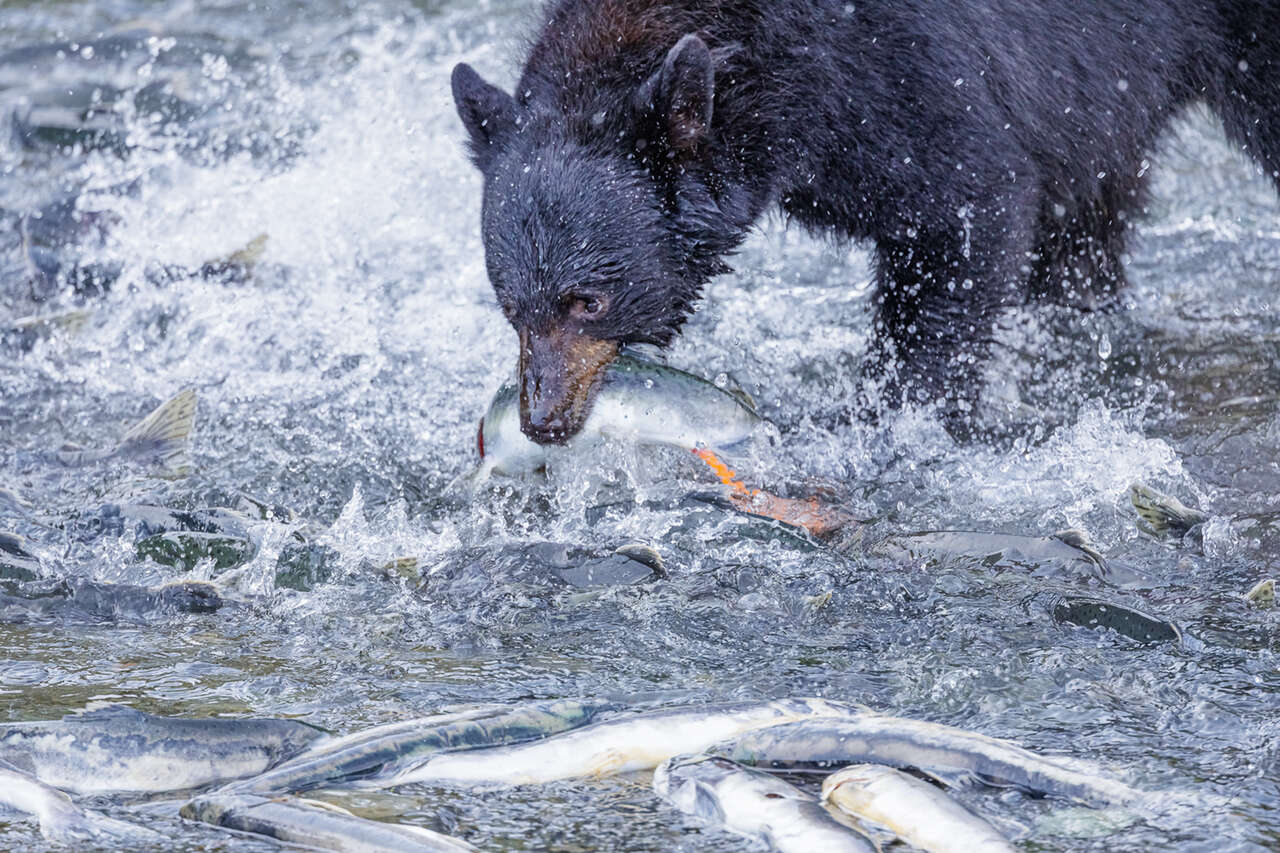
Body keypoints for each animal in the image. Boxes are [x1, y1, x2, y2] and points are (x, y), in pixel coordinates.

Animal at [453, 0, 1280, 438]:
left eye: (587, 300)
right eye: (510, 305)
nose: (541, 418)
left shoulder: (901, 69)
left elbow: (969, 206)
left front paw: (900, 414)